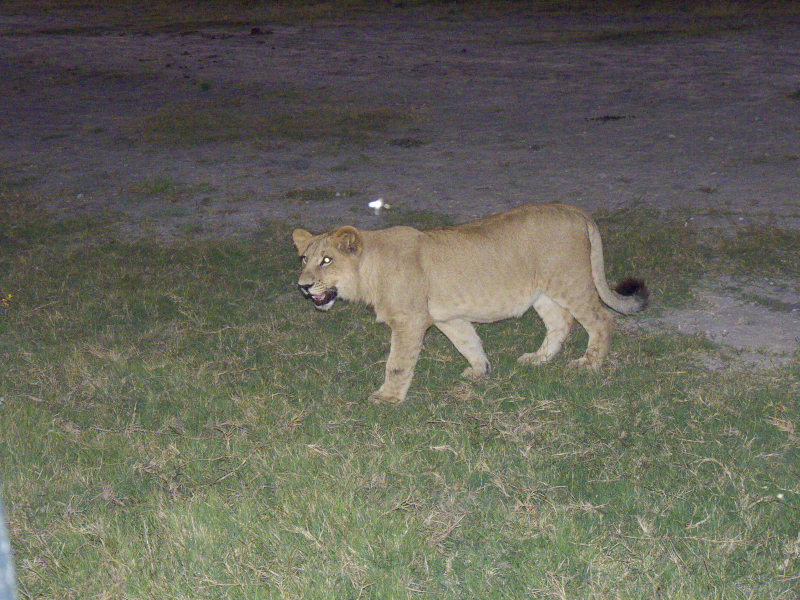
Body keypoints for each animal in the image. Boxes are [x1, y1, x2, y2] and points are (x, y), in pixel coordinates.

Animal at [292, 203, 648, 404]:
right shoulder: (446, 318)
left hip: (569, 281)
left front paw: (388, 397)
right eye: (305, 259)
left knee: (602, 320)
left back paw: (589, 364)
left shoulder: (409, 321)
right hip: (542, 292)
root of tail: (576, 210)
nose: (303, 286)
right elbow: (468, 342)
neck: (370, 269)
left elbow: (397, 363)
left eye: (327, 260)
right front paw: (481, 371)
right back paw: (538, 359)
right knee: (561, 323)